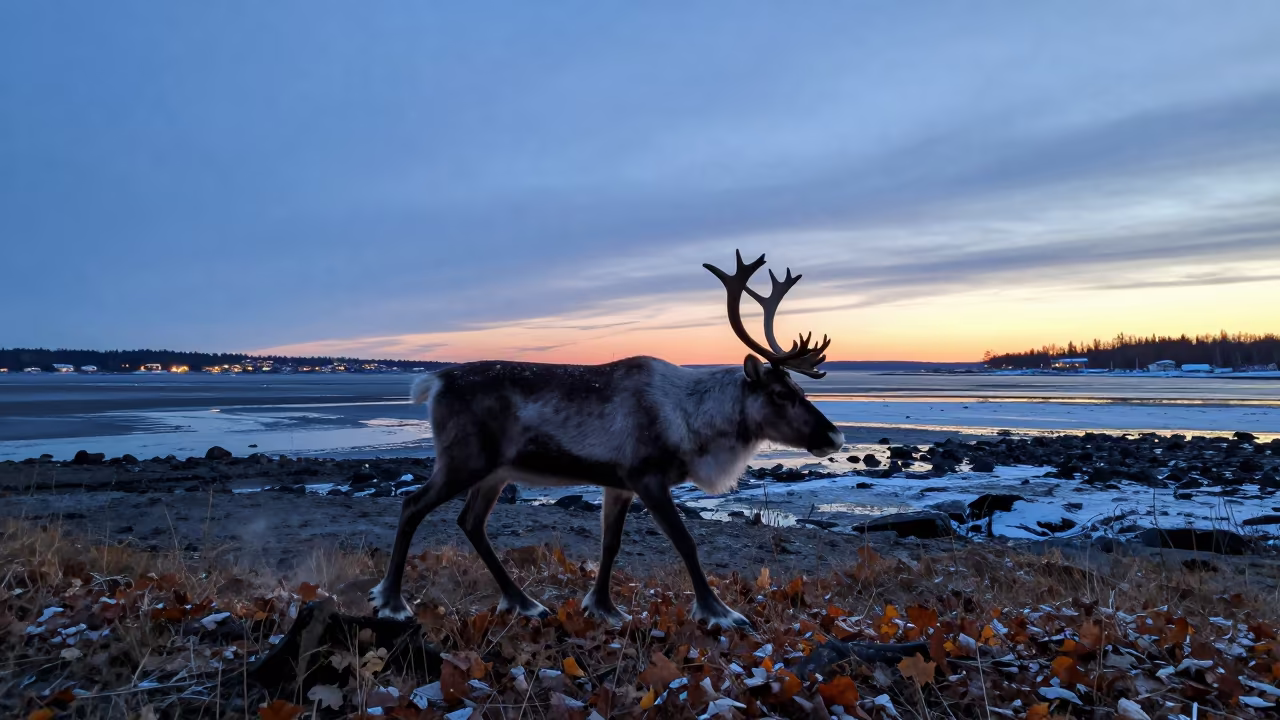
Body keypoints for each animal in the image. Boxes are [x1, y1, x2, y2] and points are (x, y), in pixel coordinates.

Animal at [368, 250, 844, 630]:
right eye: (781, 394)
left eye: (801, 389)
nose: (835, 435)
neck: (692, 417)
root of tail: (434, 381)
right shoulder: (647, 477)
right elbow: (686, 542)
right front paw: (719, 612)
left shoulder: (618, 484)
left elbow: (610, 545)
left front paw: (603, 607)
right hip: (462, 461)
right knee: (412, 505)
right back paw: (391, 601)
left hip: (494, 472)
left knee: (470, 522)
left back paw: (524, 603)